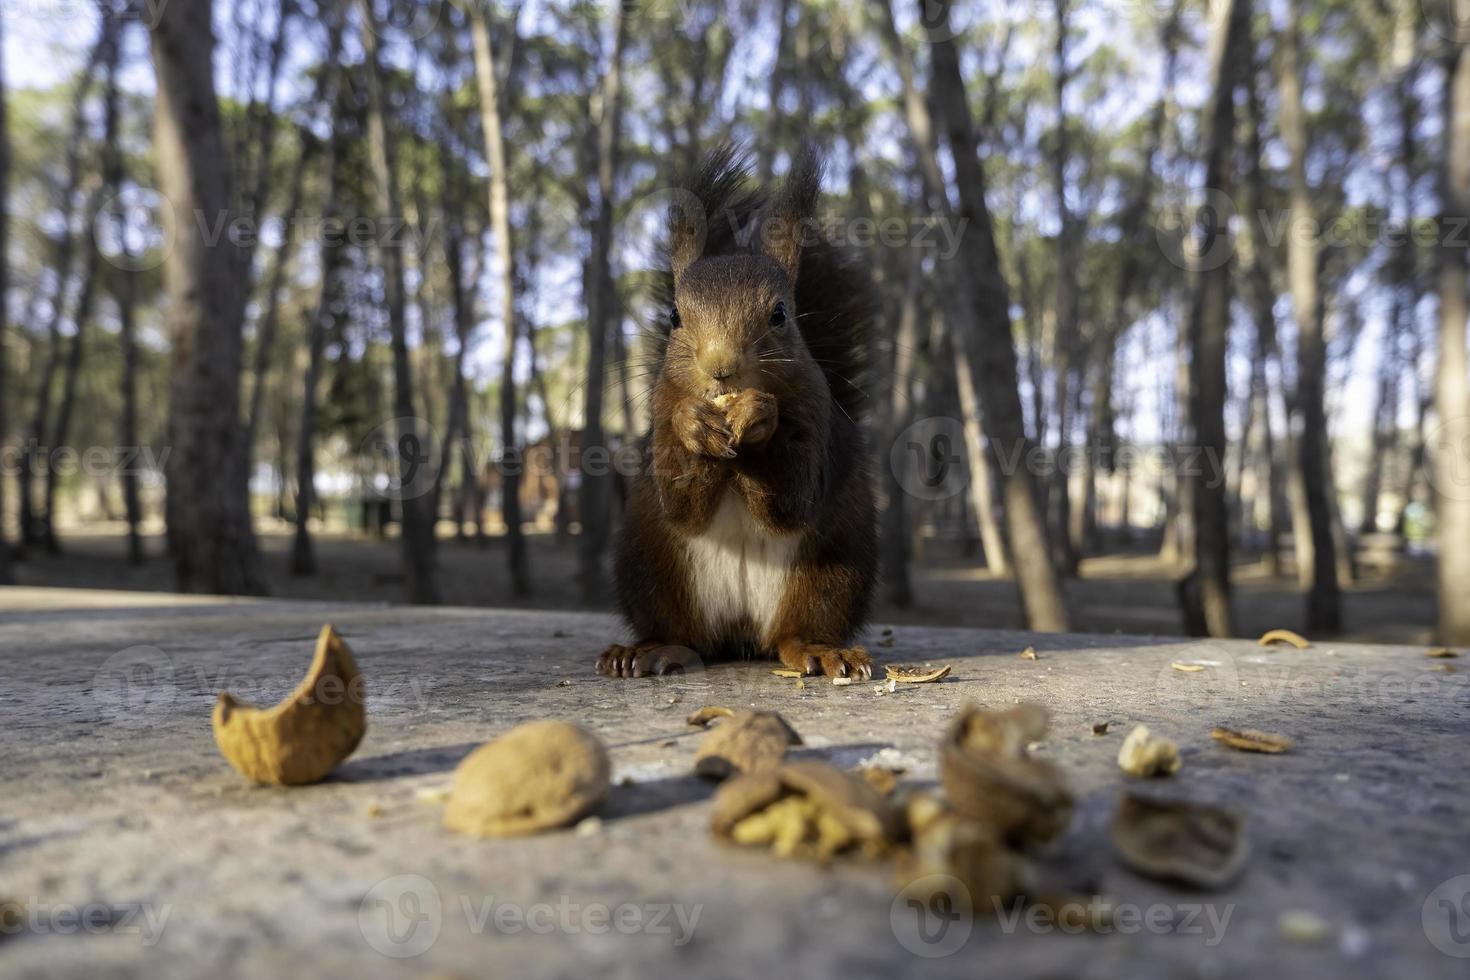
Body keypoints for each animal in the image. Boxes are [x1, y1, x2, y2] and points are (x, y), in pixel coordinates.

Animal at [593, 145, 870, 681]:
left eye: (780, 314)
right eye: (675, 316)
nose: (720, 368)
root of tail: (740, 634)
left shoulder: (815, 413)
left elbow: (794, 497)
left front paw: (759, 415)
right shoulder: (659, 411)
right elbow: (682, 504)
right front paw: (693, 423)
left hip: (832, 572)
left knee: (797, 631)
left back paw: (821, 651)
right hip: (650, 571)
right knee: (683, 633)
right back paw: (649, 650)